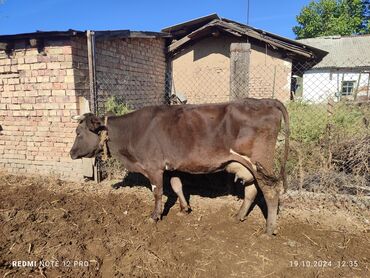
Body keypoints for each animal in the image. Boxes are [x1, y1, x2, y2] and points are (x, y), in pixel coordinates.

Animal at [69, 99, 290, 236]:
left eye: (79, 133)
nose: (71, 153)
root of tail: (265, 101)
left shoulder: (153, 167)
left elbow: (158, 192)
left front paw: (155, 216)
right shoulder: (172, 166)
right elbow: (177, 186)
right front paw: (185, 208)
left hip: (260, 164)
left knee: (271, 192)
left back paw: (268, 230)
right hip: (248, 166)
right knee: (252, 190)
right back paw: (239, 216)